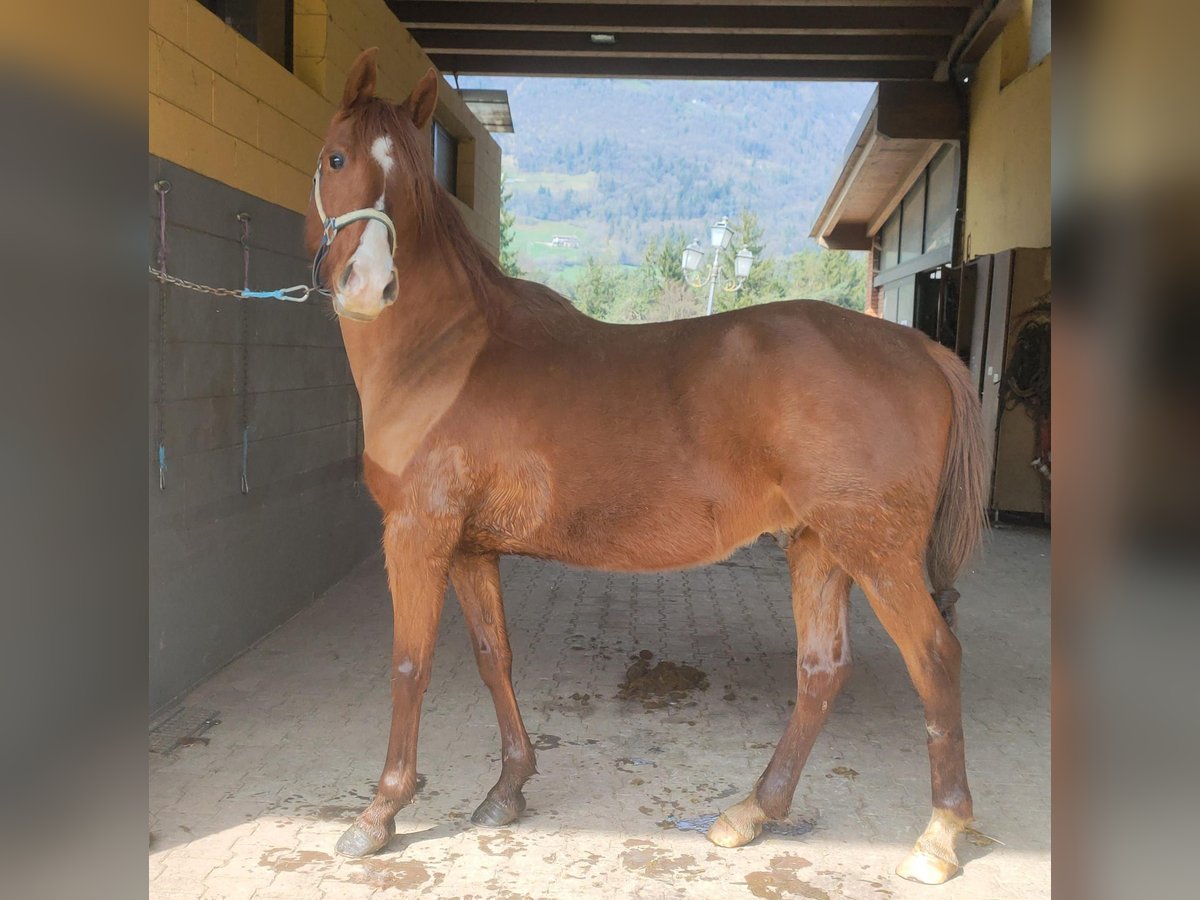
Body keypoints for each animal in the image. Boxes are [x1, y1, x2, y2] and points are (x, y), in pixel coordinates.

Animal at [304, 49, 988, 888]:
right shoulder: (470, 550)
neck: (444, 353)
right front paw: (508, 789)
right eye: (338, 159)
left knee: (935, 659)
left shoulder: (417, 537)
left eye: (408, 177)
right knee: (821, 670)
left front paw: (380, 812)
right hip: (818, 549)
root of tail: (921, 349)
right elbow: (495, 658)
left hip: (878, 554)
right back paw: (751, 812)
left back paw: (938, 836)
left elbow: (409, 664)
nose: (370, 286)